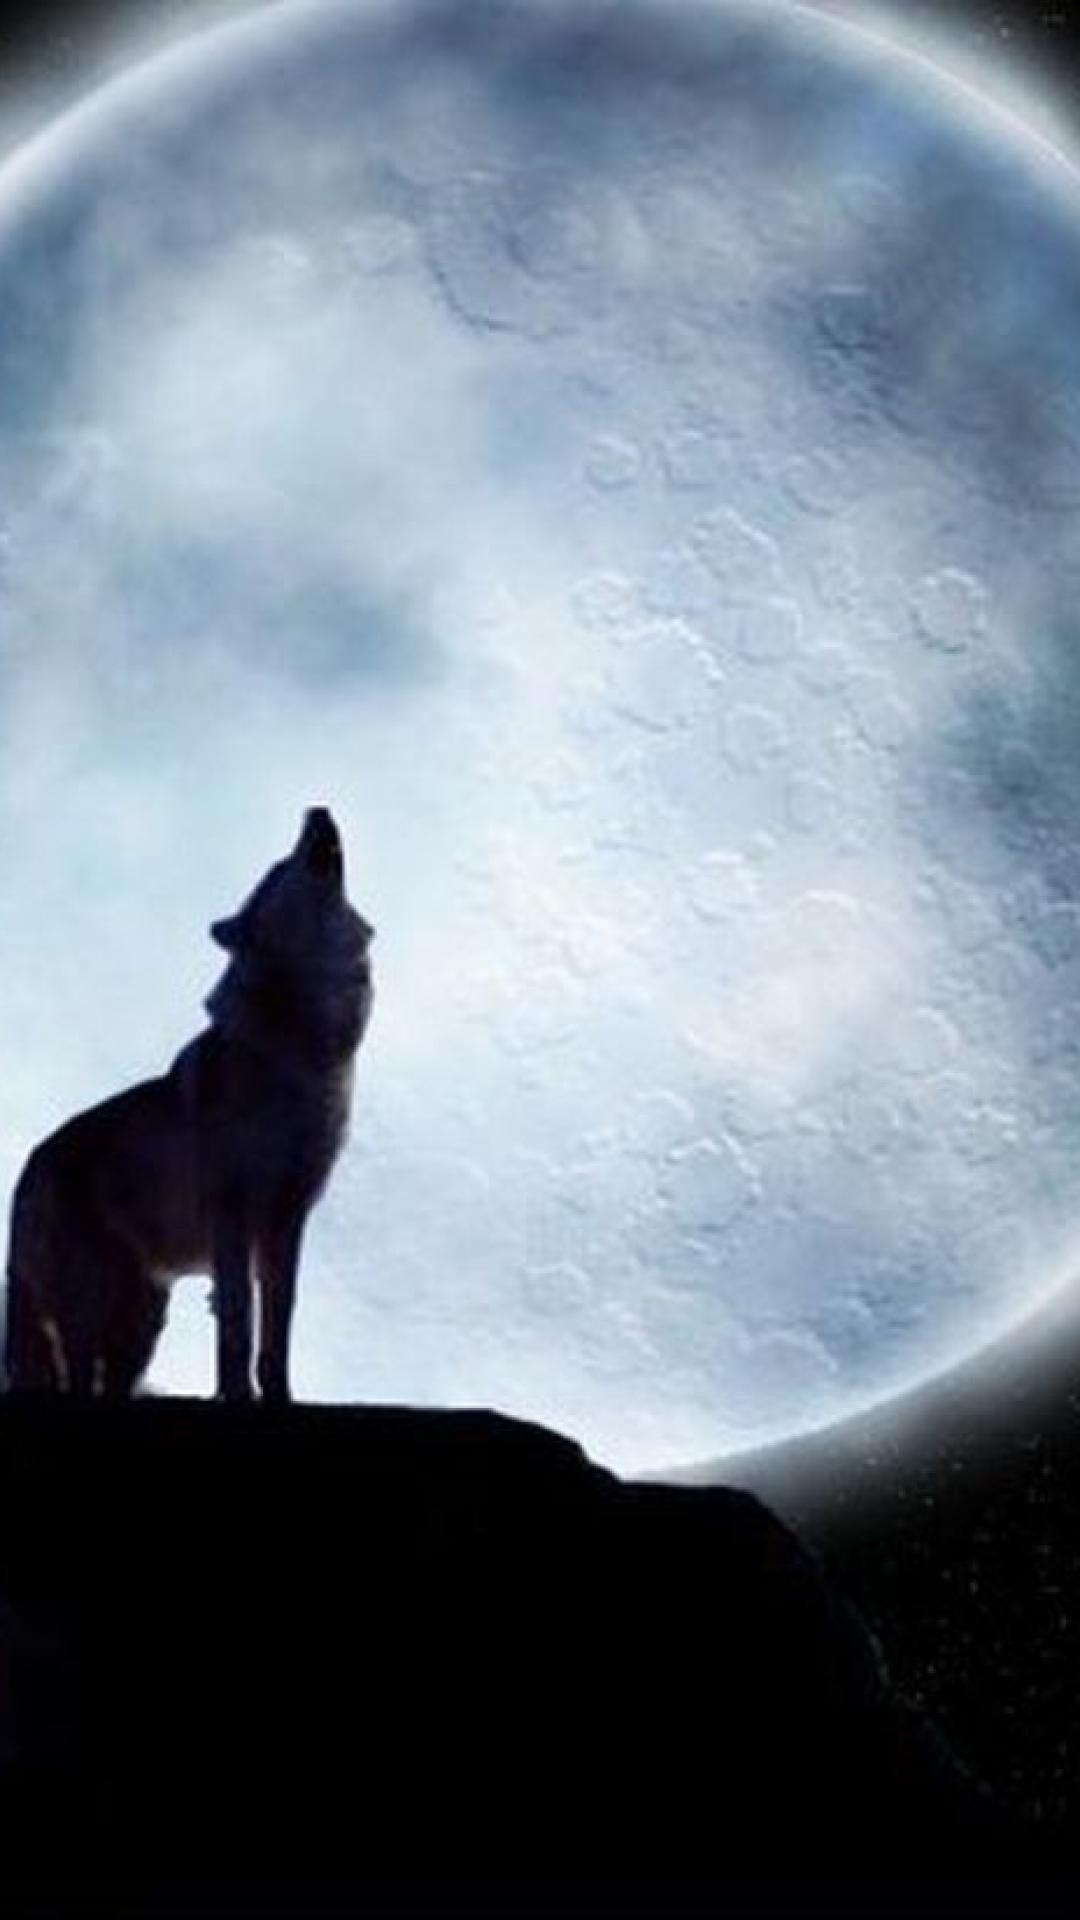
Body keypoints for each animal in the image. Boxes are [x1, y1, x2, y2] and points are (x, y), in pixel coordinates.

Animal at [3, 807, 373, 1402]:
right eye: (278, 868)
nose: (315, 810)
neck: (301, 1045)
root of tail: (26, 1172)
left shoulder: (287, 1218)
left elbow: (277, 1326)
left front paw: (278, 1396)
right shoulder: (231, 1211)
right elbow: (239, 1322)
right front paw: (238, 1395)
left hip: (142, 1321)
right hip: (88, 1302)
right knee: (77, 1374)